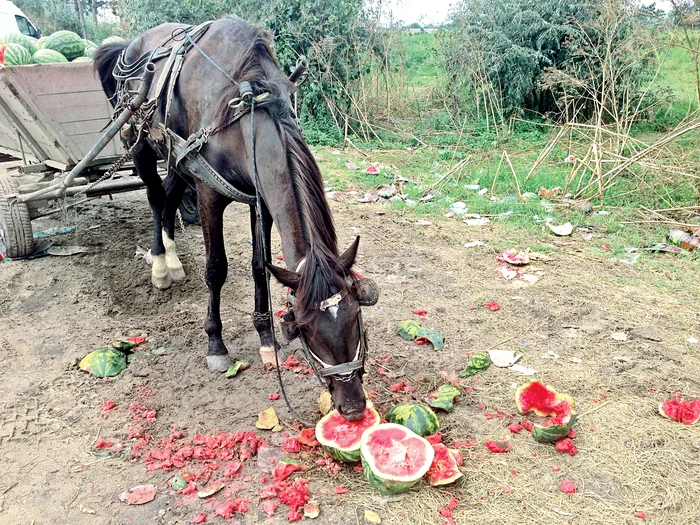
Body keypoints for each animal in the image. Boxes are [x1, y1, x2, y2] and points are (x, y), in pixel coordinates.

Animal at [97, 17, 378, 422]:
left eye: (356, 313)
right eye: (305, 327)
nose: (353, 406)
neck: (247, 111)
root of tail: (130, 45)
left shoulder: (259, 200)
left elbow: (260, 266)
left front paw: (265, 337)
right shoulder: (209, 194)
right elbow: (216, 269)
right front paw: (215, 344)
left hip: (177, 158)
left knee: (169, 195)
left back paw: (172, 258)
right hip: (140, 144)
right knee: (154, 196)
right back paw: (160, 264)